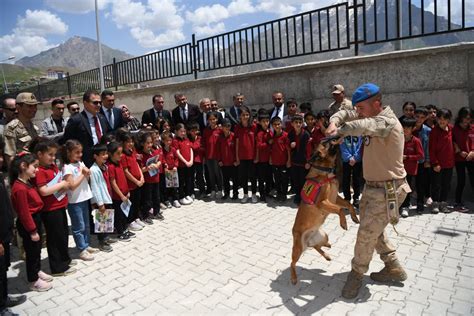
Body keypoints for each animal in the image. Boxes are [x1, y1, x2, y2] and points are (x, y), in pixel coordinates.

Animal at [288, 139, 360, 286]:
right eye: (326, 142)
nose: (336, 136)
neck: (325, 172)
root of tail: (308, 241)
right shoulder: (323, 202)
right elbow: (340, 209)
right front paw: (343, 223)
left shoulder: (335, 198)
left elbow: (348, 204)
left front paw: (354, 217)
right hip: (298, 249)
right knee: (292, 262)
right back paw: (293, 277)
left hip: (323, 235)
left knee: (317, 246)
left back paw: (327, 250)